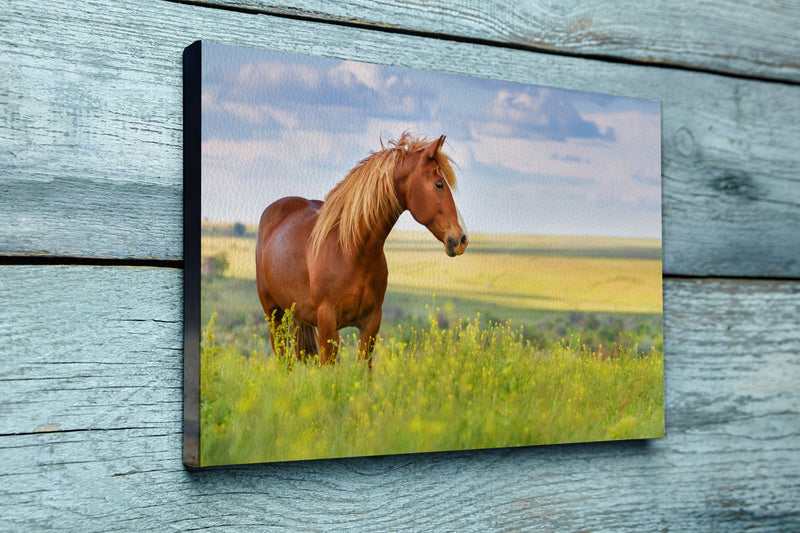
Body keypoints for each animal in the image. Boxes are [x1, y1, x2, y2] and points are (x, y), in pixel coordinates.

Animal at [256, 132, 468, 366]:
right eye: (439, 184)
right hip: (274, 316)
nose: (461, 239)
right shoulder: (327, 323)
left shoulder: (371, 323)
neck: (352, 251)